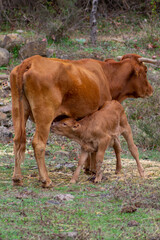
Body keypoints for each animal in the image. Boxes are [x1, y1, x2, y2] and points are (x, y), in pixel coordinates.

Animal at [10, 54, 152, 188]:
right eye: (145, 71)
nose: (151, 90)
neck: (106, 75)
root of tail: (32, 60)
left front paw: (88, 168)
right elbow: (97, 150)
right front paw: (93, 170)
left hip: (18, 111)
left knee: (18, 141)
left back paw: (17, 178)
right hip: (45, 116)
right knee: (38, 144)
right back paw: (46, 180)